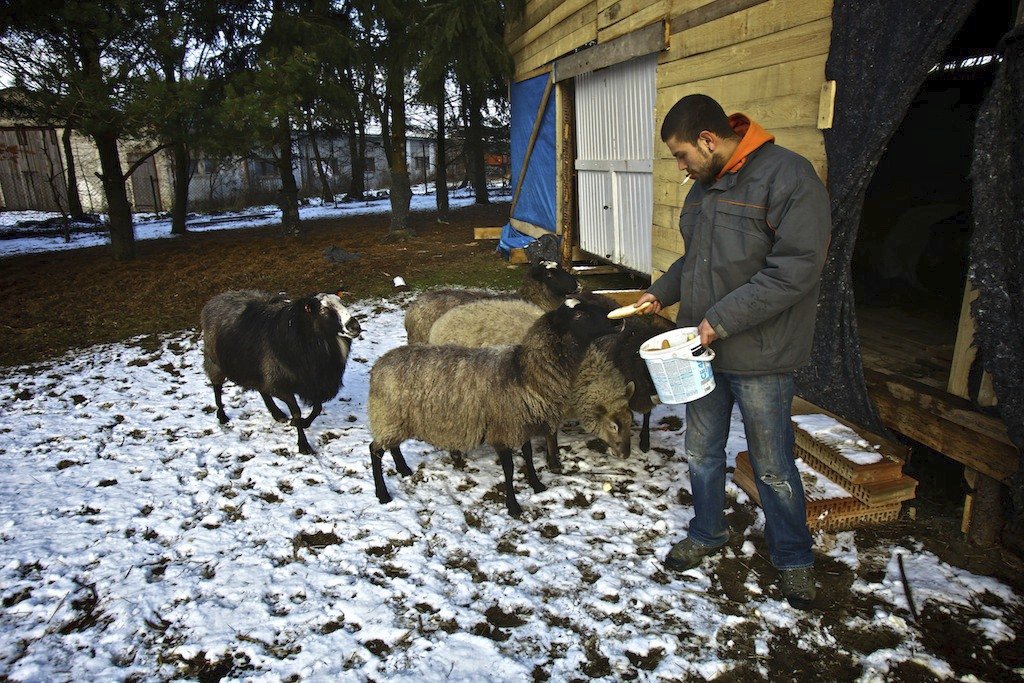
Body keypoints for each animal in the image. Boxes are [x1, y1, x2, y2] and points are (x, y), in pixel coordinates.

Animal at [198, 288, 360, 454]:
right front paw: (303, 445)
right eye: (324, 310)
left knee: (262, 389)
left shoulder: (313, 382)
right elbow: (296, 412)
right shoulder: (281, 385)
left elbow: (317, 408)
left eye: (341, 303)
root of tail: (216, 299)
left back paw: (276, 413)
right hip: (215, 361)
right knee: (217, 387)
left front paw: (304, 423)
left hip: (257, 368)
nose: (355, 327)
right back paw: (222, 415)